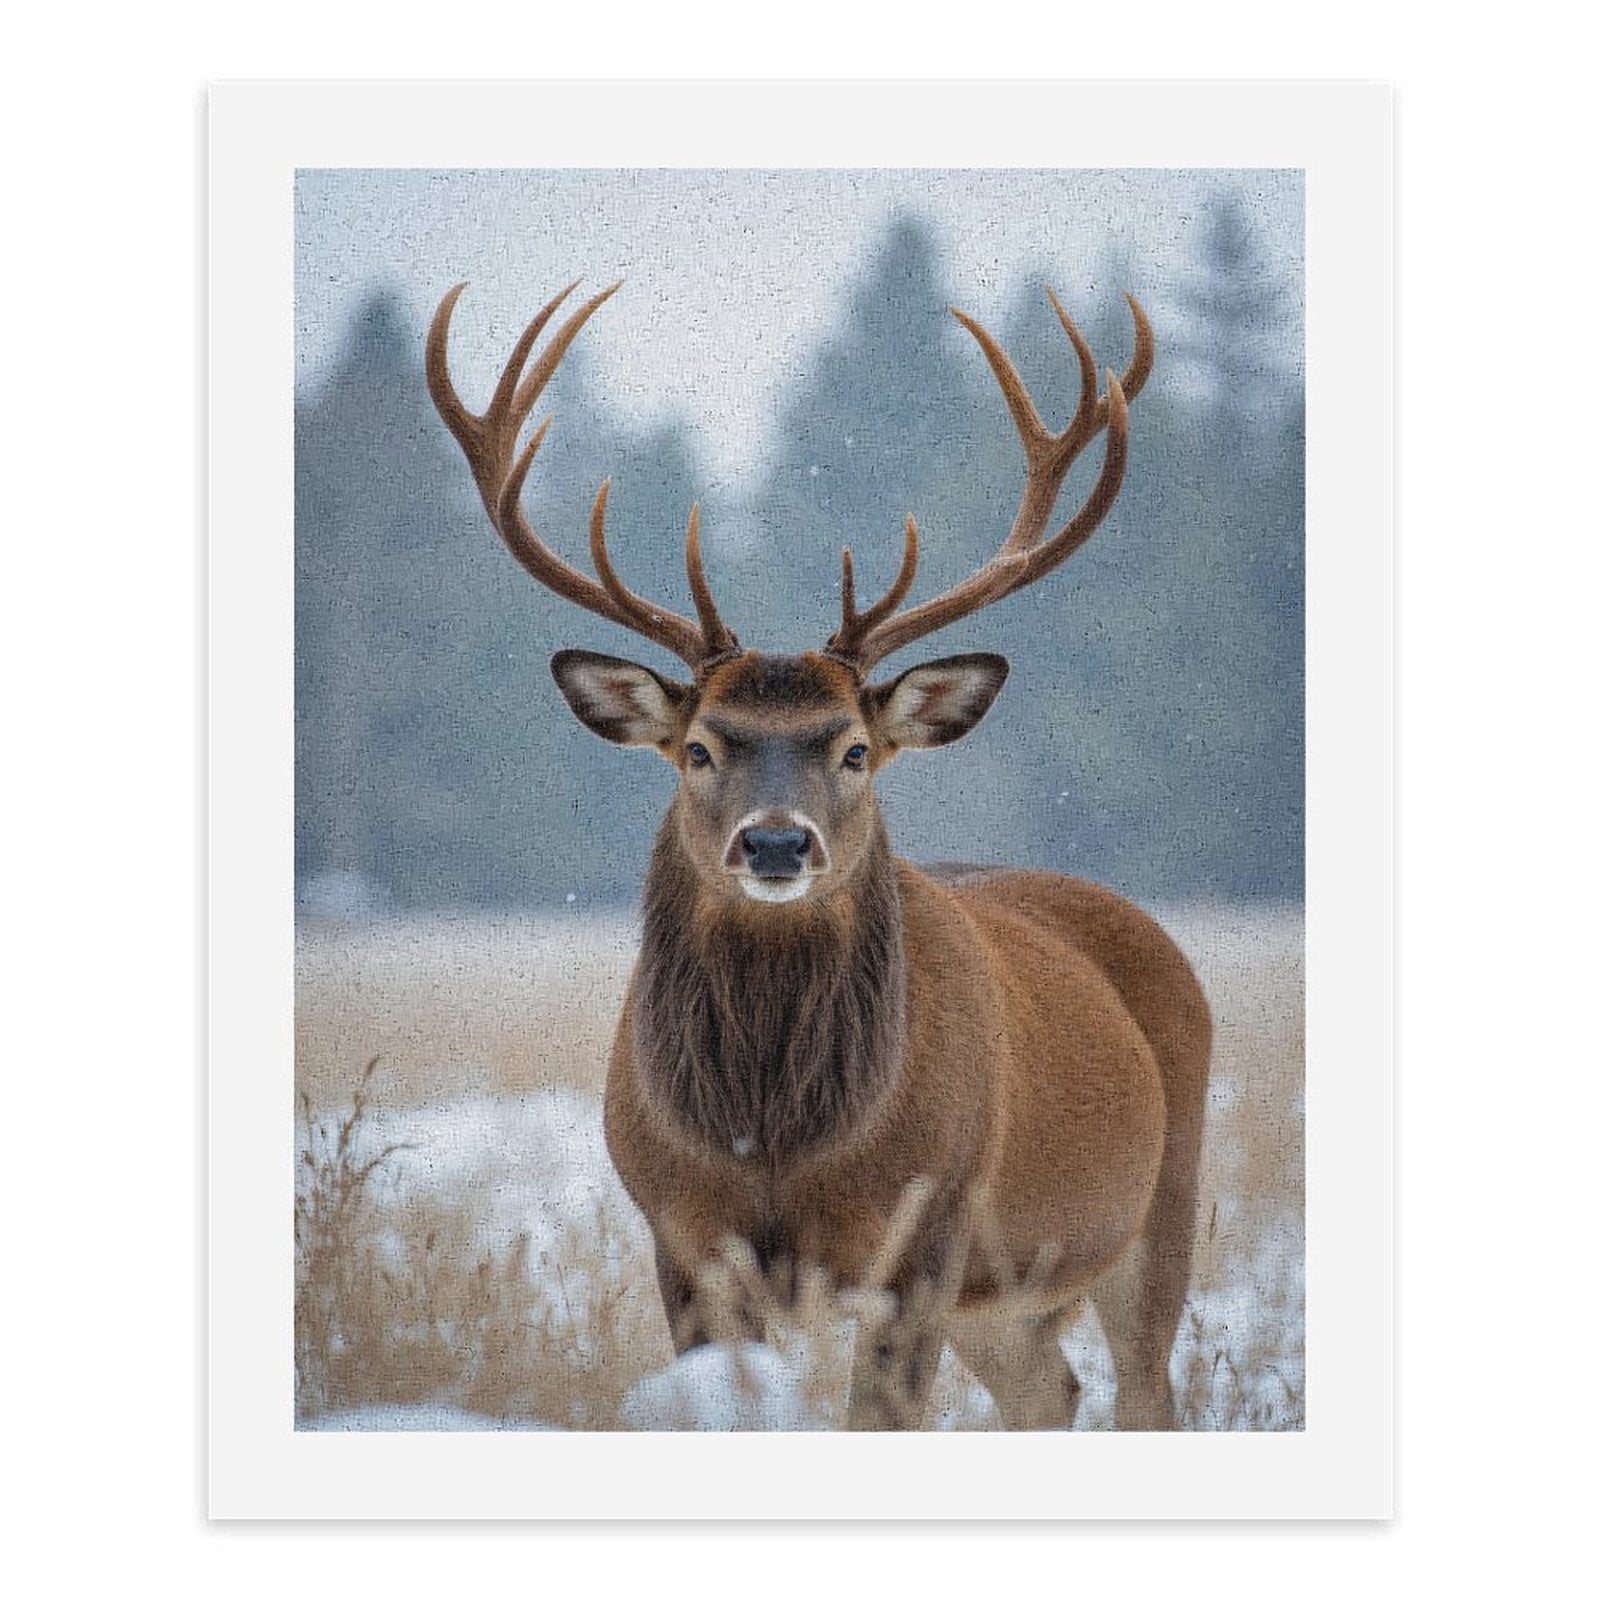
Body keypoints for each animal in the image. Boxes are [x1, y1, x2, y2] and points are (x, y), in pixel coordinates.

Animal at [426, 273, 1212, 1430]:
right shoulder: (682, 1238)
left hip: (1157, 1206)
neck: (776, 1139)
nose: (775, 841)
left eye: (853, 748)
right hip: (1008, 1293)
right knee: (1051, 1386)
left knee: (1146, 1391)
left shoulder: (925, 1234)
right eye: (699, 747)